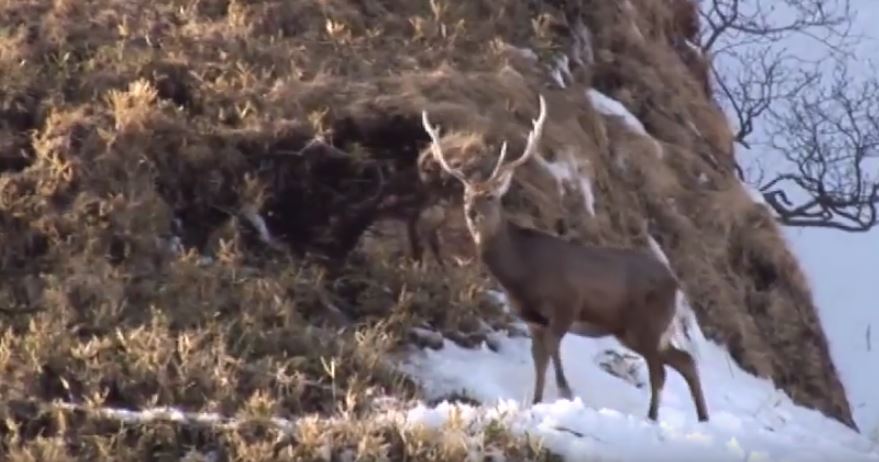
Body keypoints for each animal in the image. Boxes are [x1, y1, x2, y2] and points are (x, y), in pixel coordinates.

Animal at [418, 94, 708, 422]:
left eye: (491, 196)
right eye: (466, 195)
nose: (472, 212)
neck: (521, 271)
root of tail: (677, 285)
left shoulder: (567, 303)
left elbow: (554, 349)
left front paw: (566, 392)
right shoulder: (530, 318)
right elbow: (539, 360)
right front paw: (536, 401)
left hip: (648, 323)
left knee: (660, 371)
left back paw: (653, 417)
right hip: (632, 331)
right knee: (684, 361)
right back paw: (701, 417)